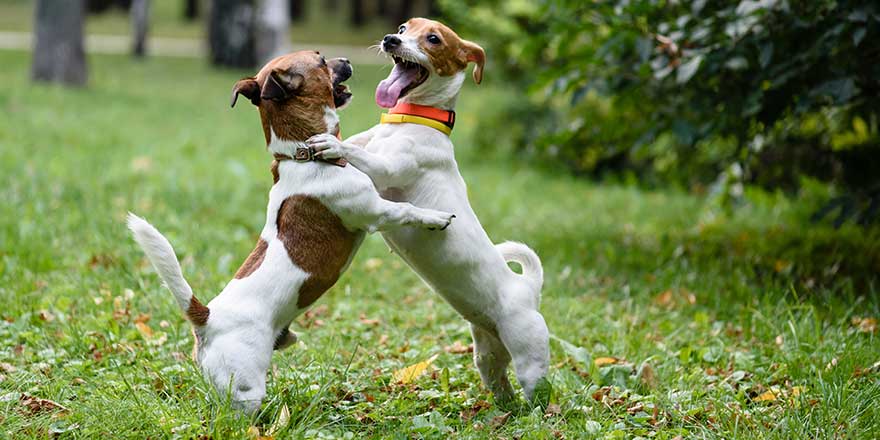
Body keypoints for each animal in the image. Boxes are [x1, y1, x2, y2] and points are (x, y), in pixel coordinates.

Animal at [129, 49, 454, 414]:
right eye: (322, 60)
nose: (345, 58)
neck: (303, 156)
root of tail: (208, 319)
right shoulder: (376, 211)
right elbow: (407, 210)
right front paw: (435, 217)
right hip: (245, 389)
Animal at [304, 18, 552, 404]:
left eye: (433, 39)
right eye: (404, 27)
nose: (391, 39)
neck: (411, 120)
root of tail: (527, 288)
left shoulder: (387, 170)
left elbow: (358, 154)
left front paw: (331, 144)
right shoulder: (370, 142)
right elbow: (358, 143)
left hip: (530, 359)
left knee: (538, 396)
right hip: (487, 356)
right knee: (502, 386)